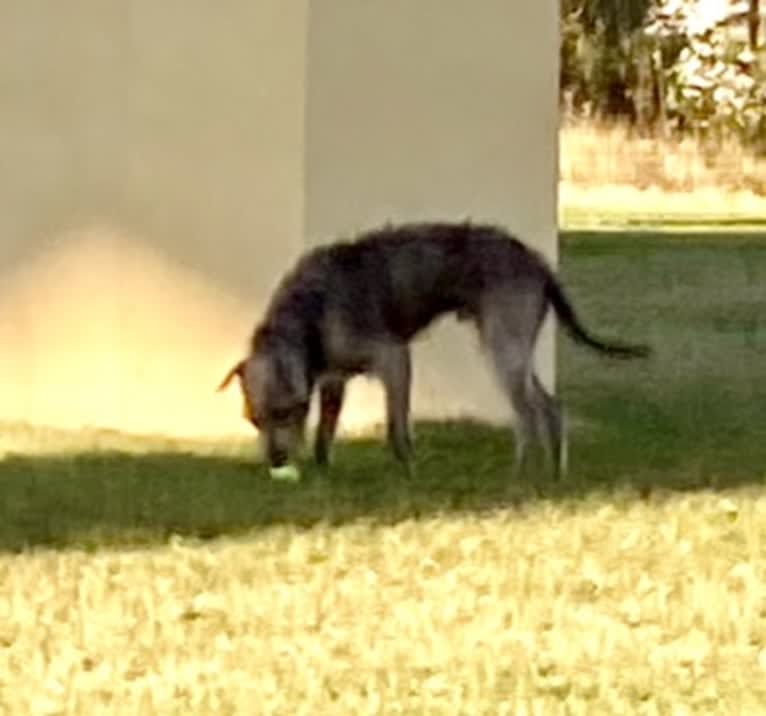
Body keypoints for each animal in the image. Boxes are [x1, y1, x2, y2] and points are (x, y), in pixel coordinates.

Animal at [219, 221, 652, 478]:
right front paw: (323, 471)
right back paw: (552, 471)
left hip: (502, 346)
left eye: (287, 413)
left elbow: (396, 426)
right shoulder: (332, 381)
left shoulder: (395, 360)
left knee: (528, 412)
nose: (276, 461)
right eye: (254, 419)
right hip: (515, 346)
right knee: (549, 406)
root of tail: (539, 263)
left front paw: (408, 467)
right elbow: (326, 431)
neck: (308, 311)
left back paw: (518, 473)